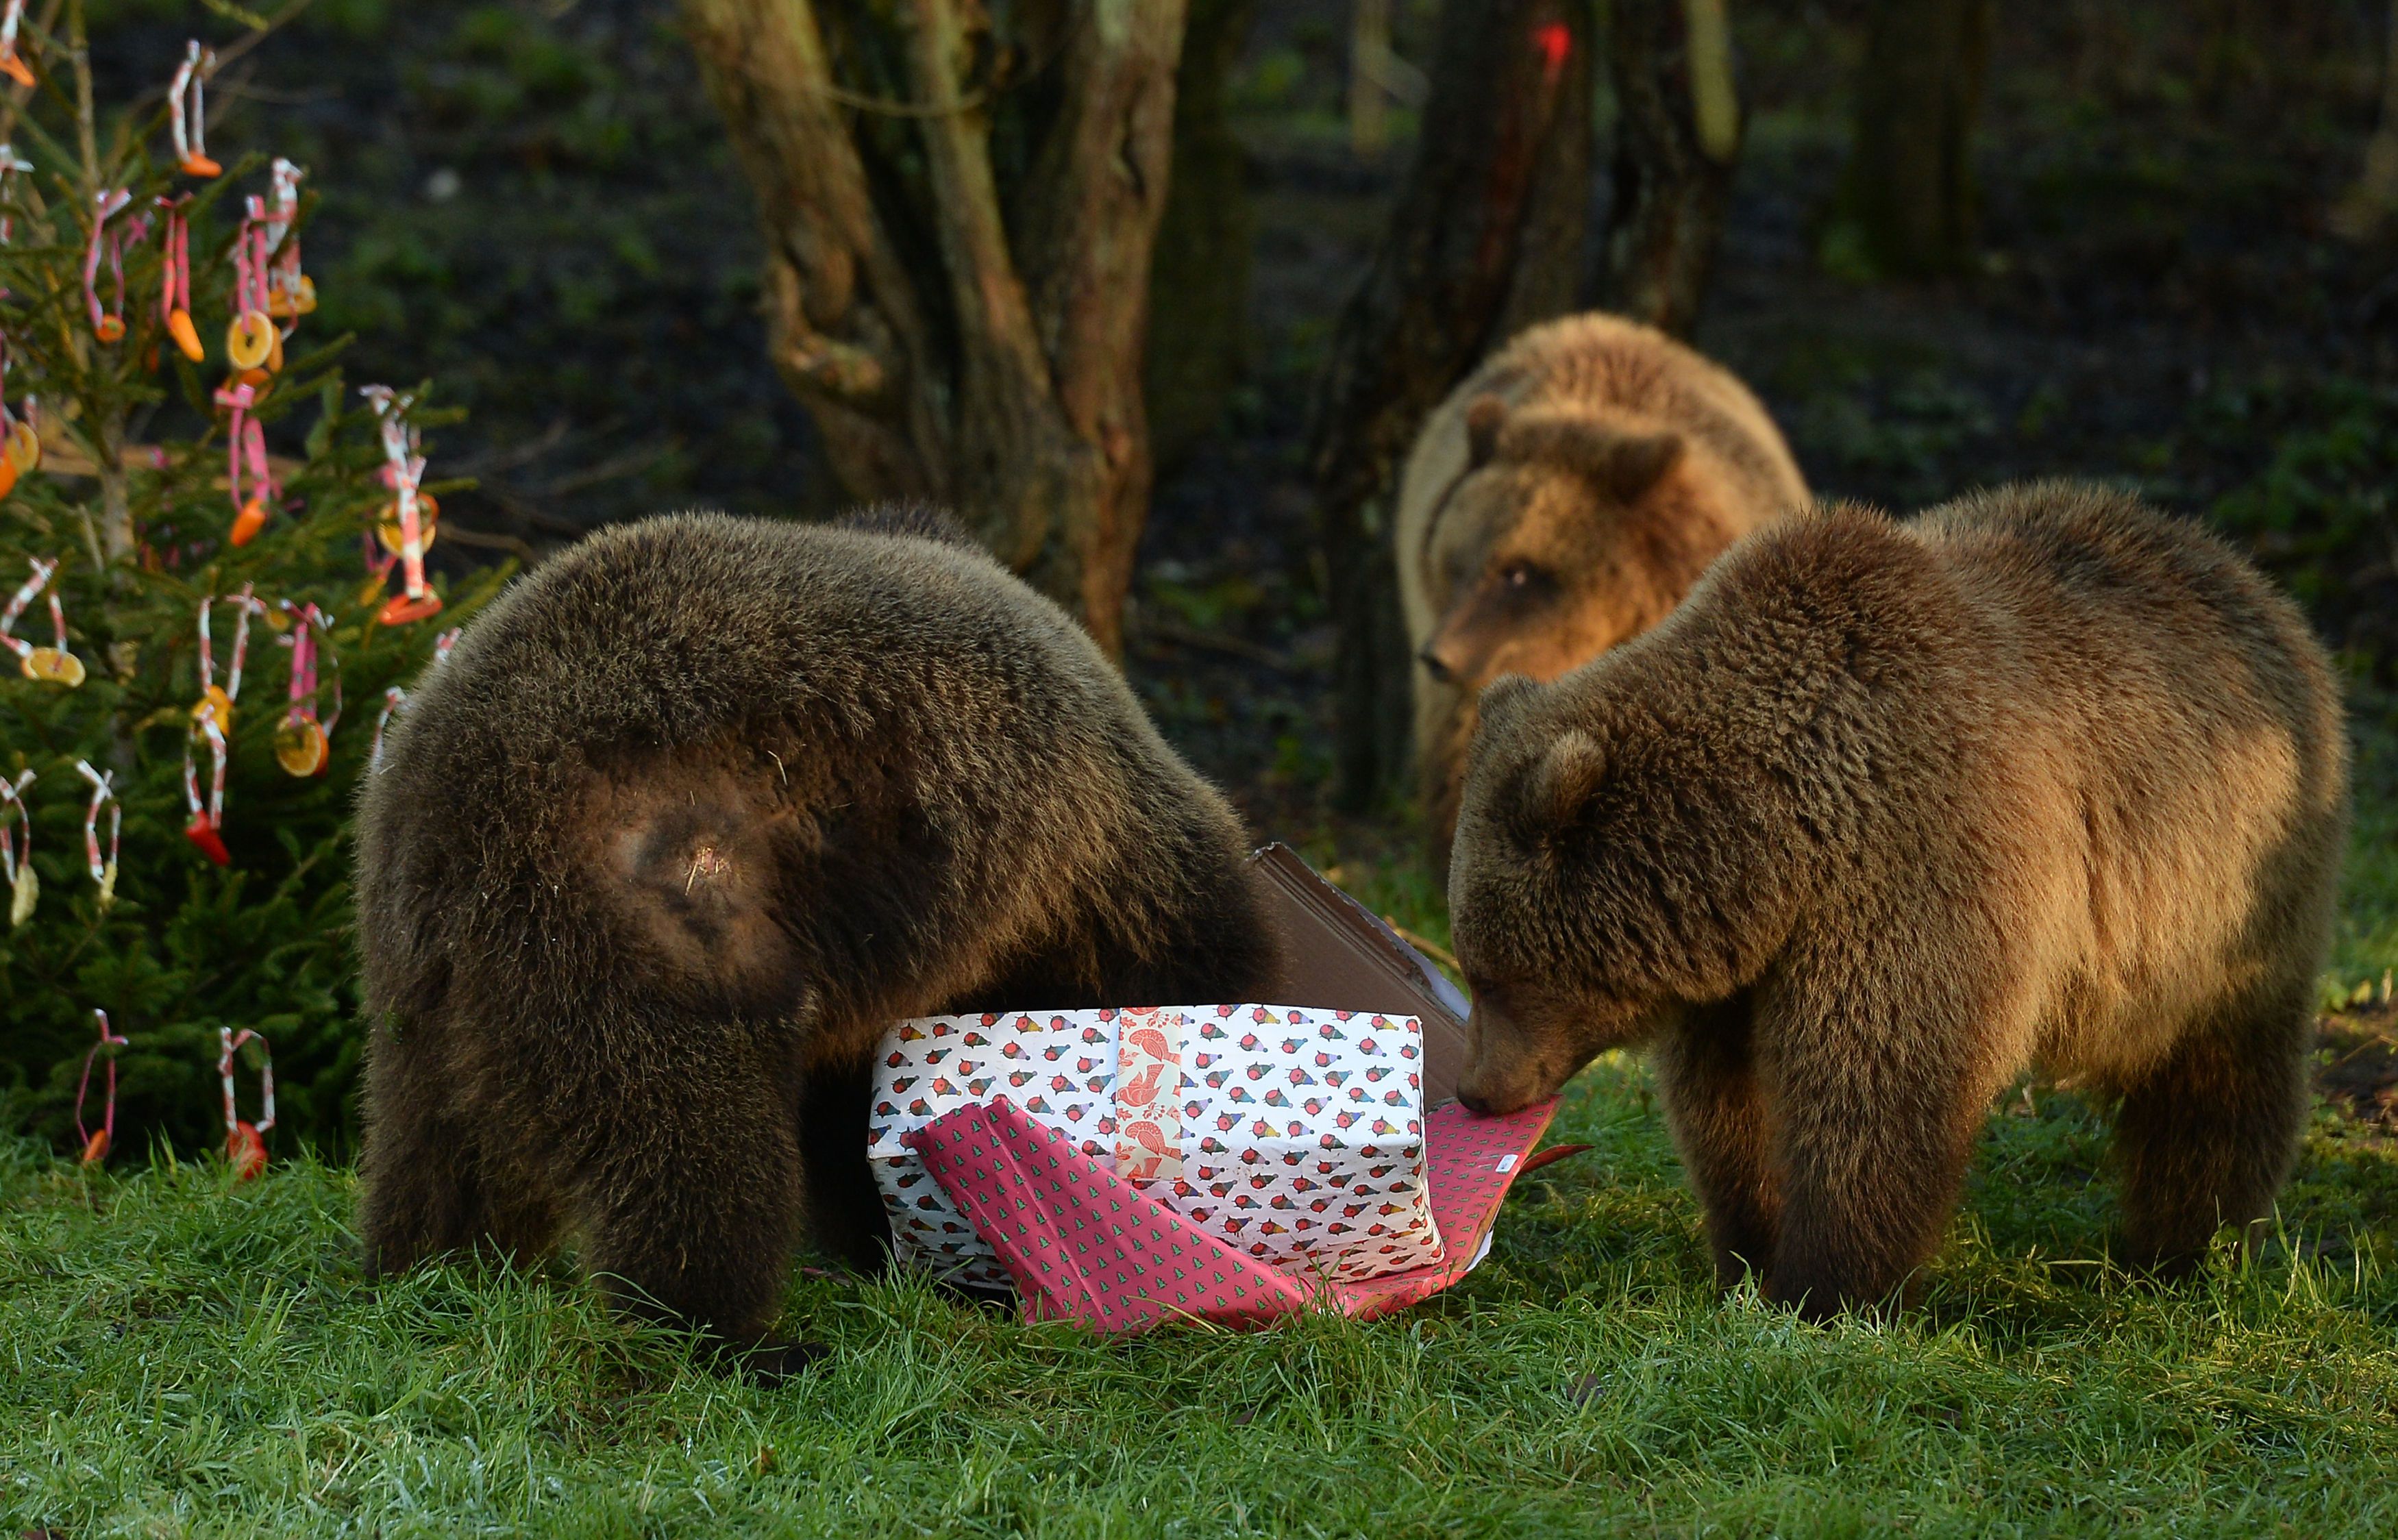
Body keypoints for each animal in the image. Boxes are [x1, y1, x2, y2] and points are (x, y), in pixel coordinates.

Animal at [353, 508, 1278, 1373]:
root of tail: (456, 798)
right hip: (651, 922)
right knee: (695, 1142)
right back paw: (738, 1338)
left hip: (432, 983)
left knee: (436, 1144)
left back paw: (429, 1266)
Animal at [1447, 481, 2349, 1319]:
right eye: (1471, 959)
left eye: (1491, 971)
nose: (1476, 1089)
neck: (1780, 850)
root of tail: (2246, 576)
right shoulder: (1743, 970)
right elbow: (1729, 1105)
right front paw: (1747, 1255)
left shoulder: (1917, 863)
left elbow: (1876, 1089)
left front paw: (1824, 1288)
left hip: (2225, 907)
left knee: (2218, 1085)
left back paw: (2186, 1251)